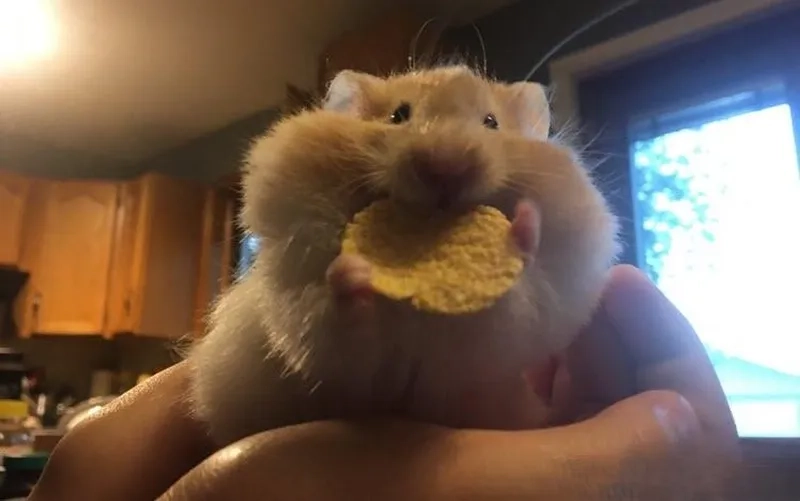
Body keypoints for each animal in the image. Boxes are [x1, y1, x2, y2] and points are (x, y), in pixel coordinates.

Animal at [187, 65, 620, 446]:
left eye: (491, 122)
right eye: (399, 115)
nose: (446, 167)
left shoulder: (484, 349)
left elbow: (508, 305)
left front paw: (525, 225)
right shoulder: (308, 316)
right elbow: (334, 324)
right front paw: (352, 270)